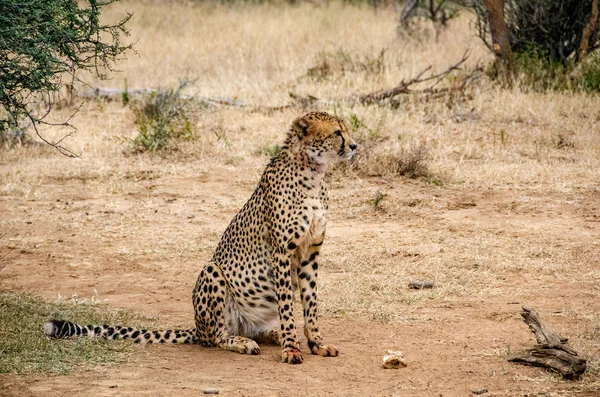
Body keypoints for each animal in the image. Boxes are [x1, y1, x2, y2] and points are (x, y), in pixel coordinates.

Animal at [47, 110, 358, 362]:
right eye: (337, 132)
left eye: (346, 130)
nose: (355, 146)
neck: (313, 173)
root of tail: (197, 328)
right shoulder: (282, 252)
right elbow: (286, 305)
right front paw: (292, 349)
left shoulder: (309, 253)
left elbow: (310, 304)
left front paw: (316, 343)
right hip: (212, 271)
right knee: (216, 338)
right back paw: (243, 342)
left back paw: (273, 334)